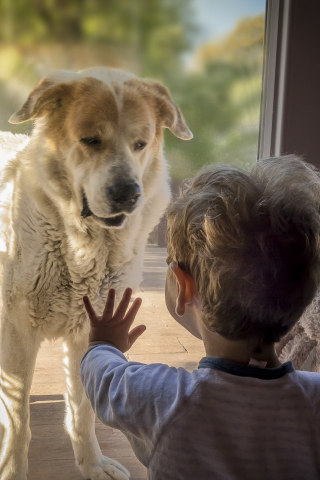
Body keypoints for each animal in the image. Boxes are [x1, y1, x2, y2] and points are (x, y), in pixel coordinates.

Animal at [0, 67, 191, 480]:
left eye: (140, 144)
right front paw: (13, 470)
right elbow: (20, 421)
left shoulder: (88, 327)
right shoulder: (17, 331)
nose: (128, 194)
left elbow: (83, 410)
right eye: (90, 140)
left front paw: (92, 464)